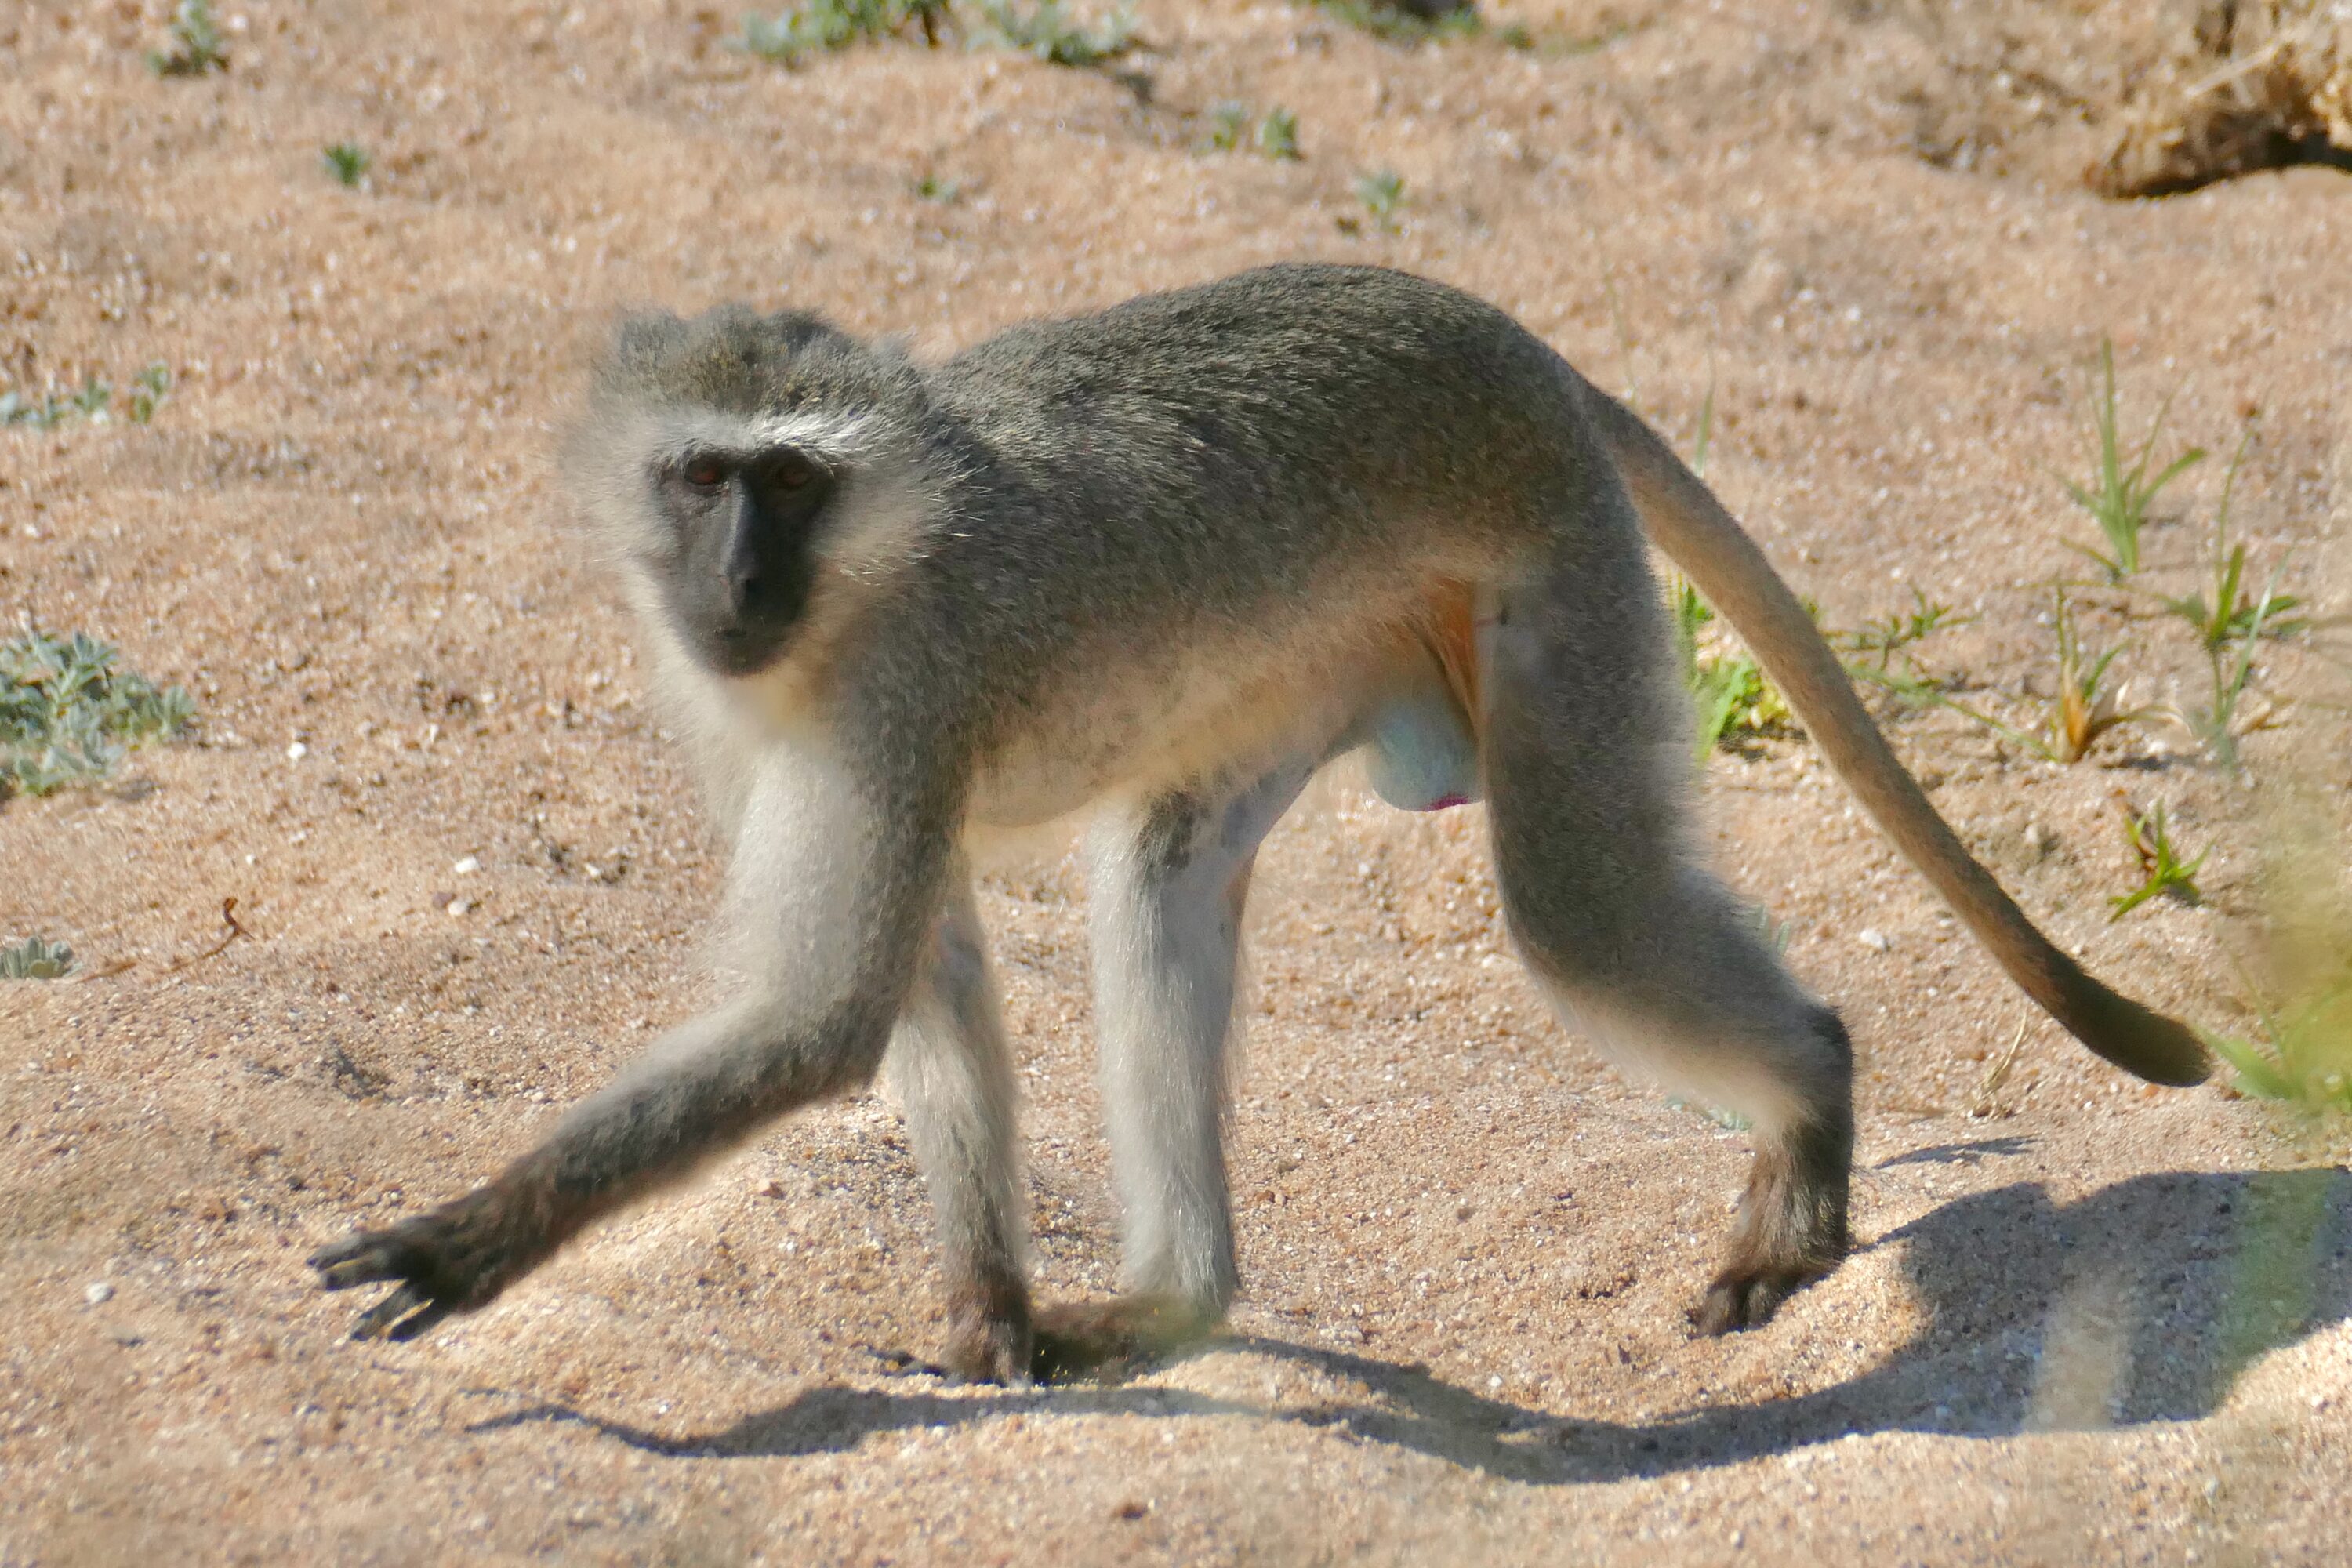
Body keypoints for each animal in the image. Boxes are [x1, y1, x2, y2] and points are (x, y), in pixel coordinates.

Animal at [311, 263, 2208, 1382]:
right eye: (705, 476)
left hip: (1551, 570)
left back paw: (1808, 1104)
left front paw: (467, 1238)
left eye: (792, 483)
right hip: (1318, 655)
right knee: (1159, 877)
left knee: (1578, 909)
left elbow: (826, 1016)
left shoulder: (900, 694)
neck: (856, 582)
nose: (738, 579)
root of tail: (1502, 338)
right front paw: (989, 1312)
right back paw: (1177, 1304)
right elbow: (920, 983)